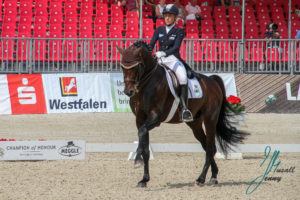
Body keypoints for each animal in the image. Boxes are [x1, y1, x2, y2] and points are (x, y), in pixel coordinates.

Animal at [116, 40, 248, 188]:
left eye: (137, 67)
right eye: (122, 67)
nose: (129, 91)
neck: (147, 84)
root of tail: (212, 81)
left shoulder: (155, 118)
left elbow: (142, 133)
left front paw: (137, 160)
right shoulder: (140, 119)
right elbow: (145, 147)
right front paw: (144, 180)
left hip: (210, 120)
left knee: (210, 148)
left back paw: (201, 179)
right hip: (195, 123)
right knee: (207, 146)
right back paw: (213, 176)